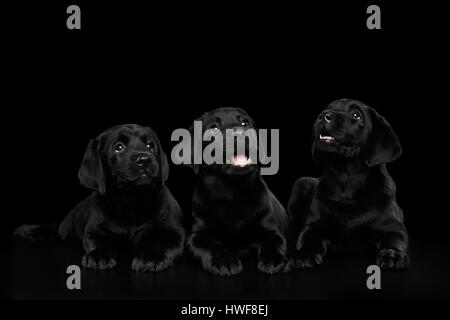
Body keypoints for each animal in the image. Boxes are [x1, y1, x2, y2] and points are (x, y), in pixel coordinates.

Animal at [14, 124, 185, 272]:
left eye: (150, 145)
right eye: (119, 148)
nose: (144, 159)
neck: (130, 202)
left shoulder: (175, 232)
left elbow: (161, 243)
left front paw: (151, 257)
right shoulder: (93, 230)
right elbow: (98, 242)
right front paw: (98, 256)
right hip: (66, 229)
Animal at [184, 107, 292, 276]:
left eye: (244, 122)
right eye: (214, 127)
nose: (241, 132)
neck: (232, 192)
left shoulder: (271, 229)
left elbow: (274, 242)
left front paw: (274, 260)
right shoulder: (195, 236)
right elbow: (211, 246)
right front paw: (225, 261)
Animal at [288, 99, 408, 270]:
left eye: (356, 115)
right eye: (328, 108)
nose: (323, 116)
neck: (346, 183)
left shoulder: (394, 227)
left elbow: (394, 240)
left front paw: (392, 254)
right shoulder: (313, 225)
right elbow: (307, 237)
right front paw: (305, 254)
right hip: (301, 182)